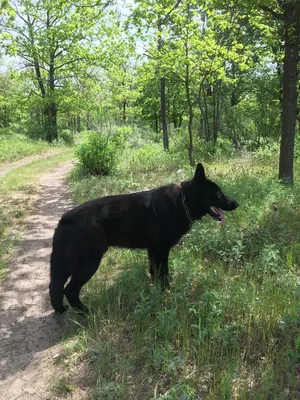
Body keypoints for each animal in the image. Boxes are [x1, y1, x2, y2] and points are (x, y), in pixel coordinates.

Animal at [49, 162, 238, 312]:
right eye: (218, 194)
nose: (237, 203)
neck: (182, 201)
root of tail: (64, 219)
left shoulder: (153, 251)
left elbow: (154, 272)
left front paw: (156, 293)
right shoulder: (162, 250)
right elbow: (164, 274)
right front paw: (167, 294)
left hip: (69, 263)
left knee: (55, 285)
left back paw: (61, 310)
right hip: (89, 262)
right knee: (69, 290)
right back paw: (86, 312)